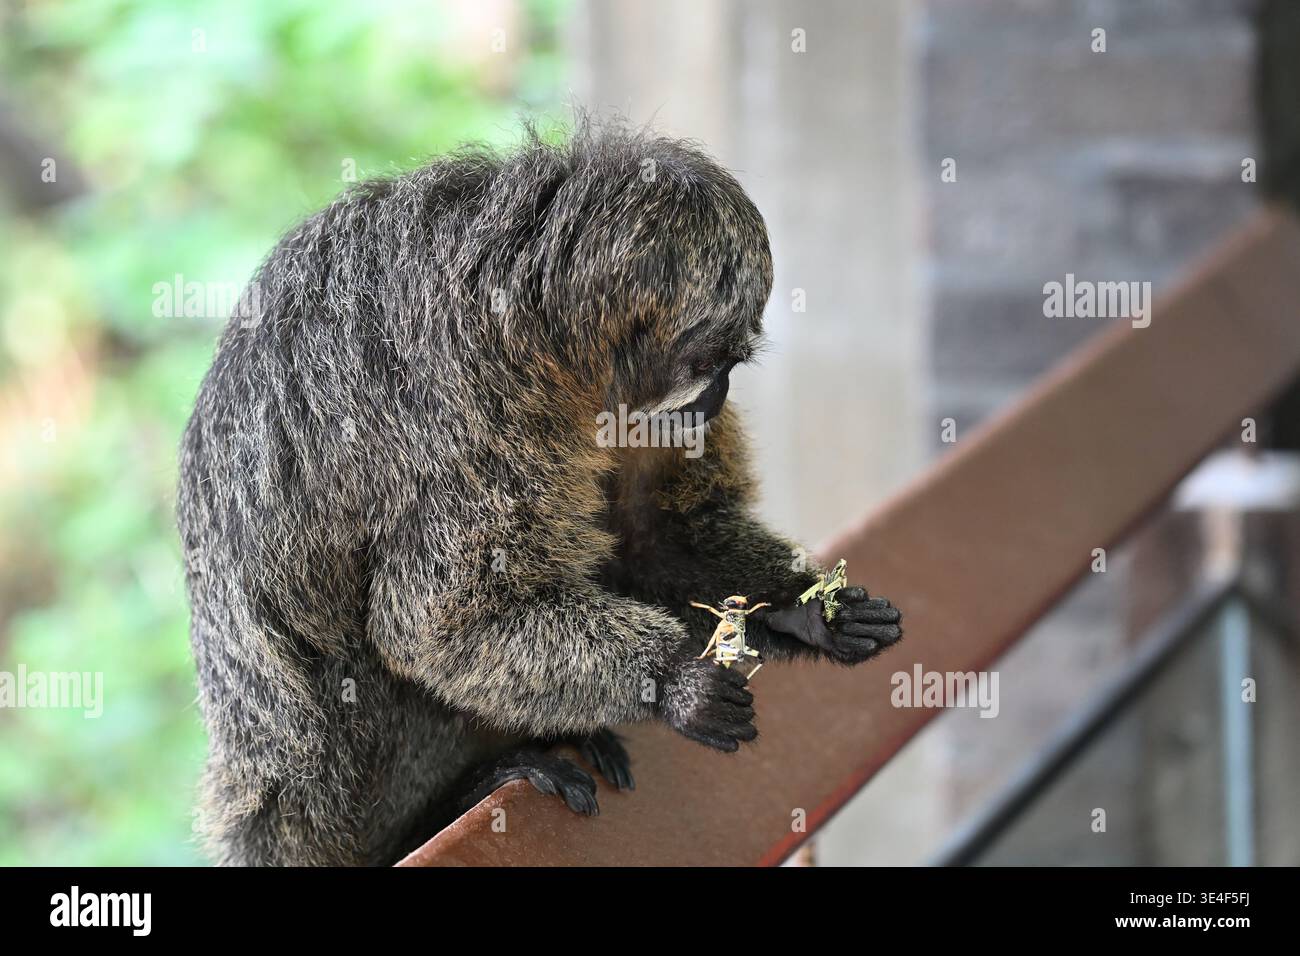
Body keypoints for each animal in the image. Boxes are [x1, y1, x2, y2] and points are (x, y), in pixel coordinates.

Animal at [177, 119, 903, 867]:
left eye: (732, 366)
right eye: (713, 363)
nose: (721, 395)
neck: (549, 343)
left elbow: (657, 541)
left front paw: (805, 611)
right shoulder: (466, 401)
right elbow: (436, 626)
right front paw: (675, 681)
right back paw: (473, 787)